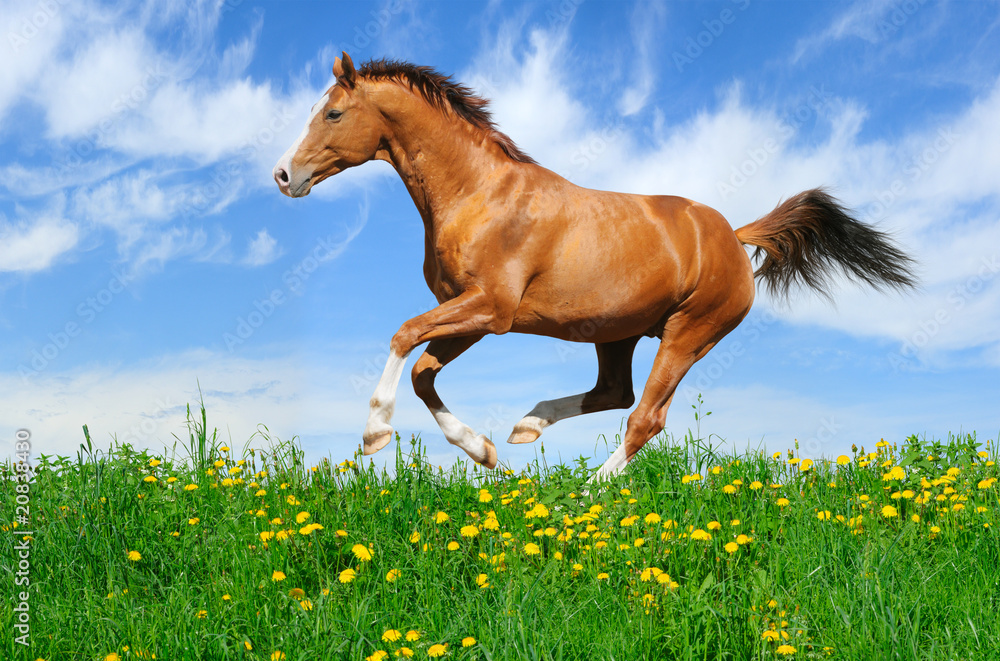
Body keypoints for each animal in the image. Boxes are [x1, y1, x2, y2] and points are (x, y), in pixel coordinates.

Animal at [274, 52, 916, 480]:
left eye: (333, 114)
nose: (283, 175)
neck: (478, 194)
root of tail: (733, 237)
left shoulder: (490, 309)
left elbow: (403, 336)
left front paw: (375, 434)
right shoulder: (471, 315)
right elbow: (423, 372)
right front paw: (484, 451)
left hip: (690, 333)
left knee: (645, 418)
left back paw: (590, 494)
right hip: (618, 333)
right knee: (616, 393)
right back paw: (527, 425)